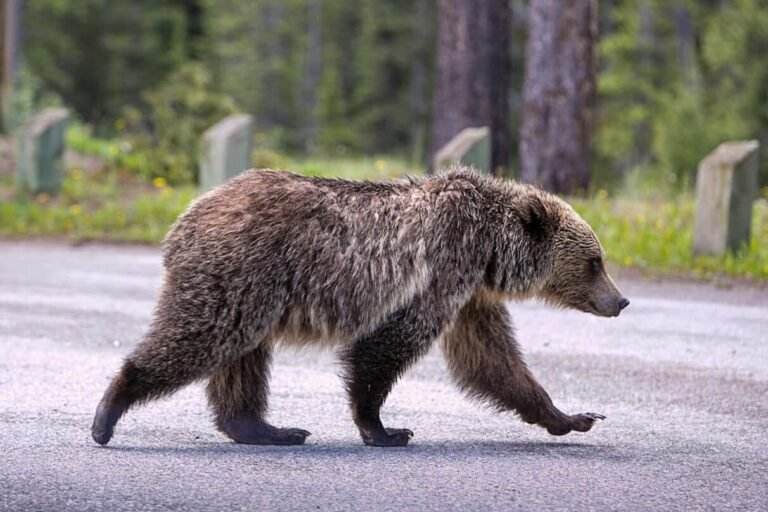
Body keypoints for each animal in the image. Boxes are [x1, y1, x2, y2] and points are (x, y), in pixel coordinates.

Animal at [91, 169, 632, 448]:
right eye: (595, 261)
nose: (622, 300)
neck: (490, 251)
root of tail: (183, 221)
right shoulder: (439, 272)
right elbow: (385, 348)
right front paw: (385, 429)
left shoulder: (469, 296)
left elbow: (493, 361)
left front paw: (572, 416)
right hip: (241, 273)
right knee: (201, 337)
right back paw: (108, 412)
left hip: (253, 291)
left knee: (242, 360)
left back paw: (269, 429)